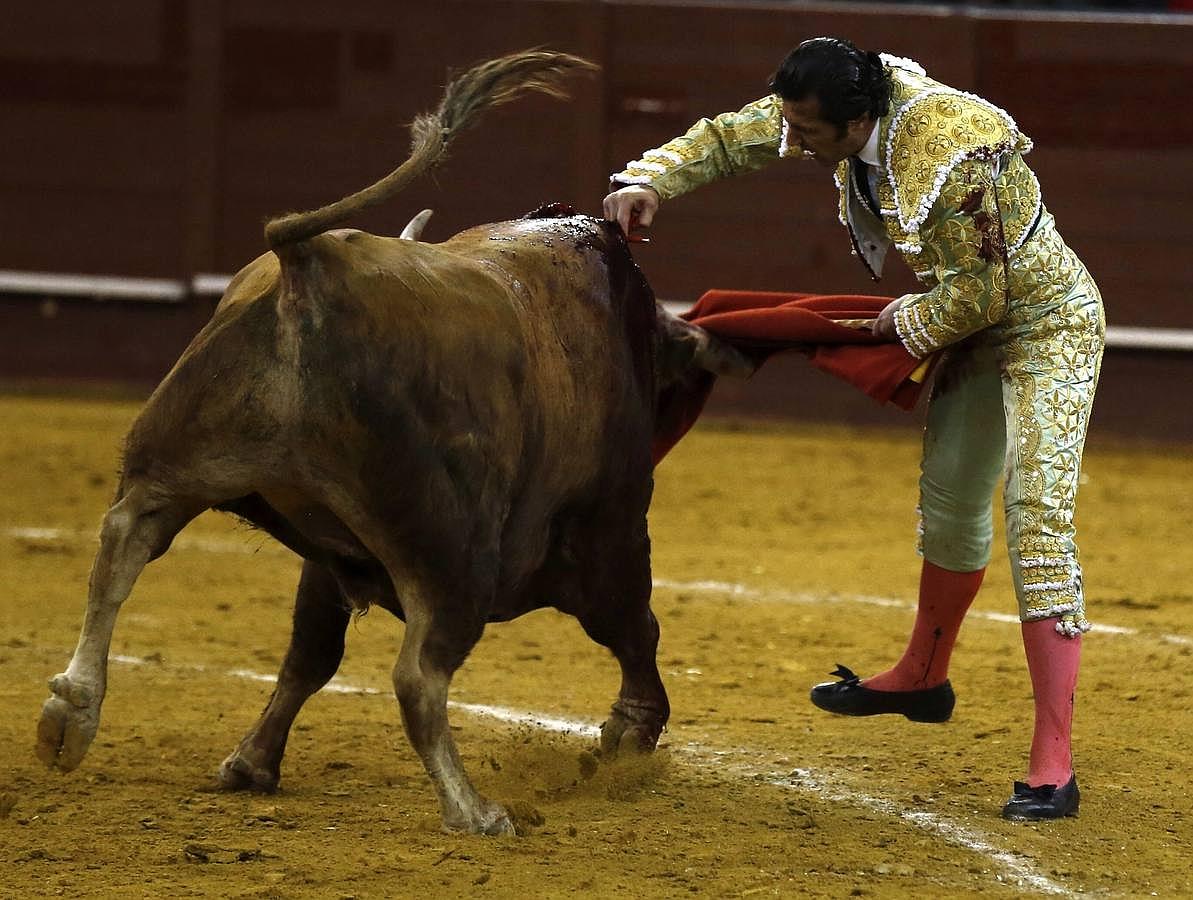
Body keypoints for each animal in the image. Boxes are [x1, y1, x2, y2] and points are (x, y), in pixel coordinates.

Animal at [34, 50, 744, 835]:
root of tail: (308, 266)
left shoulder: (330, 547)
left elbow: (308, 654)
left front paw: (251, 765)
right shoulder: (611, 537)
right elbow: (637, 629)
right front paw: (629, 734)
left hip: (182, 460)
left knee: (126, 539)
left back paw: (70, 713)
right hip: (452, 553)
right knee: (420, 676)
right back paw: (473, 809)